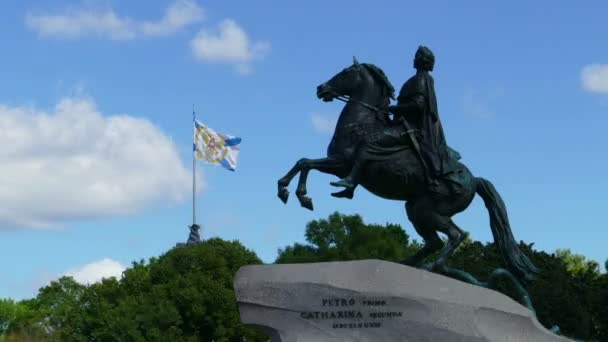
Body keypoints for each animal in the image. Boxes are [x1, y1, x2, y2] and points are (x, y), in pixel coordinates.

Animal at [276, 57, 536, 284]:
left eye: (345, 72)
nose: (321, 88)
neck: (362, 122)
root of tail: (475, 179)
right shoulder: (336, 163)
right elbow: (303, 162)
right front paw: (287, 191)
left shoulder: (342, 163)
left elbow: (310, 164)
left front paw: (305, 195)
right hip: (415, 209)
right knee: (434, 242)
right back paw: (406, 263)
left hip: (429, 210)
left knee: (455, 235)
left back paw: (433, 266)